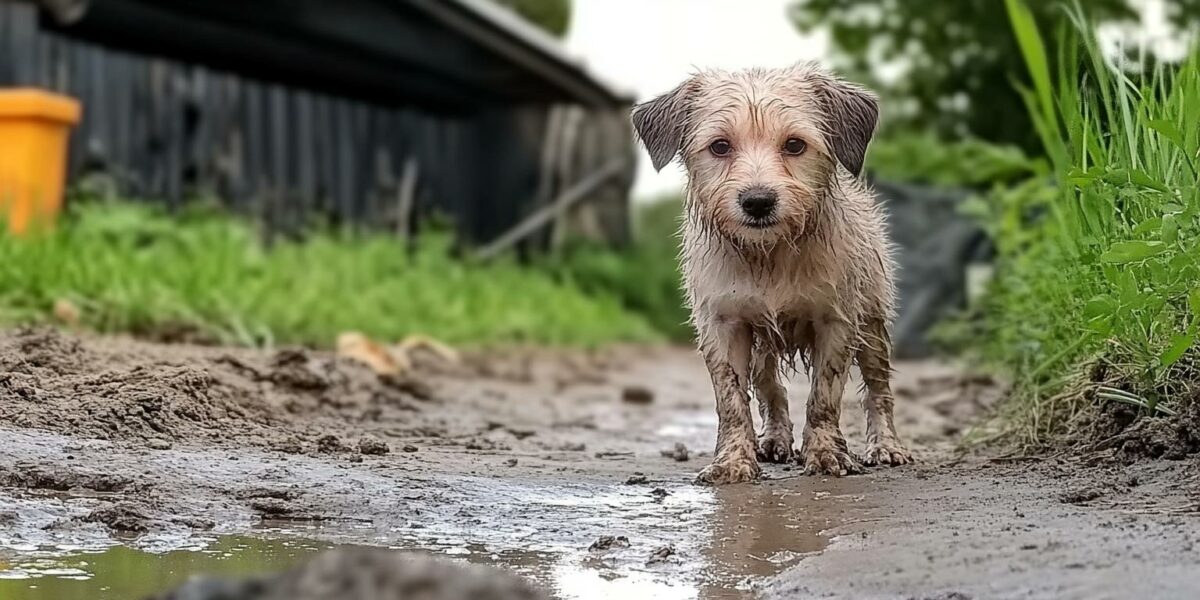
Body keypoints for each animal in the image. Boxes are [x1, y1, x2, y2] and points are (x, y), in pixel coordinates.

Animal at [628, 63, 907, 484]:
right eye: (720, 146)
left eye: (794, 144)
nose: (757, 201)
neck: (769, 255)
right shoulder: (724, 323)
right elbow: (731, 400)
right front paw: (732, 461)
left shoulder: (836, 320)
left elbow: (824, 396)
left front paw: (826, 453)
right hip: (761, 343)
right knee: (770, 389)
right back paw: (775, 439)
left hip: (873, 322)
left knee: (879, 388)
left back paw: (886, 445)